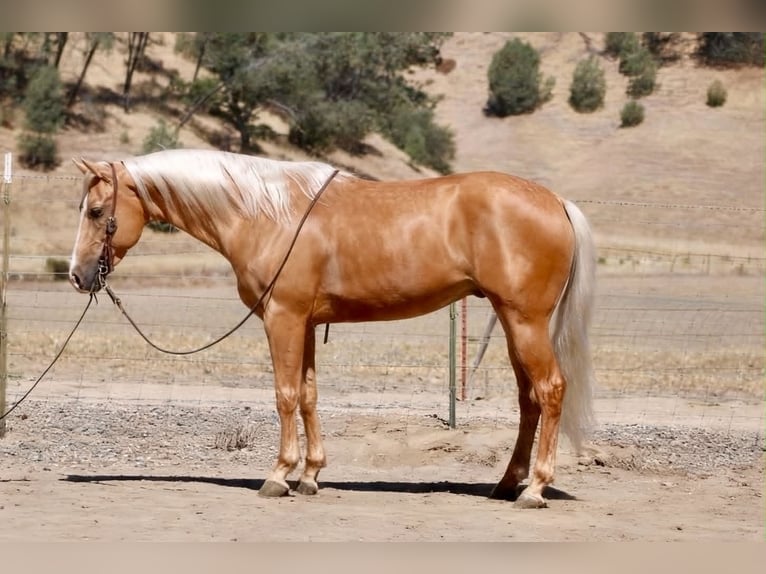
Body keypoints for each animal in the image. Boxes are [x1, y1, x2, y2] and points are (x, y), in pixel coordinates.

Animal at [68, 148, 596, 509]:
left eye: (95, 212)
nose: (76, 275)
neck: (266, 212)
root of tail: (556, 201)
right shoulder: (304, 323)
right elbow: (308, 395)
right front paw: (310, 475)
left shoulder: (283, 318)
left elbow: (284, 395)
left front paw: (278, 475)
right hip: (511, 324)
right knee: (529, 400)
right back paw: (507, 483)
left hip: (524, 322)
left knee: (550, 389)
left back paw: (534, 488)